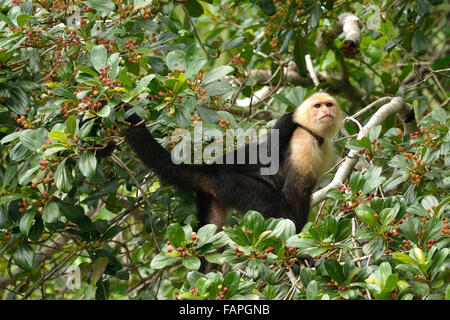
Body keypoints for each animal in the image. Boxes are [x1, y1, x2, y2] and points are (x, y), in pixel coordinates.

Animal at [122, 91, 342, 234]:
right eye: (317, 106)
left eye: (329, 104)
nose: (325, 111)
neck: (313, 133)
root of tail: (211, 170)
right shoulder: (301, 140)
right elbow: (294, 191)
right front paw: (301, 234)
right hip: (235, 185)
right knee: (276, 207)